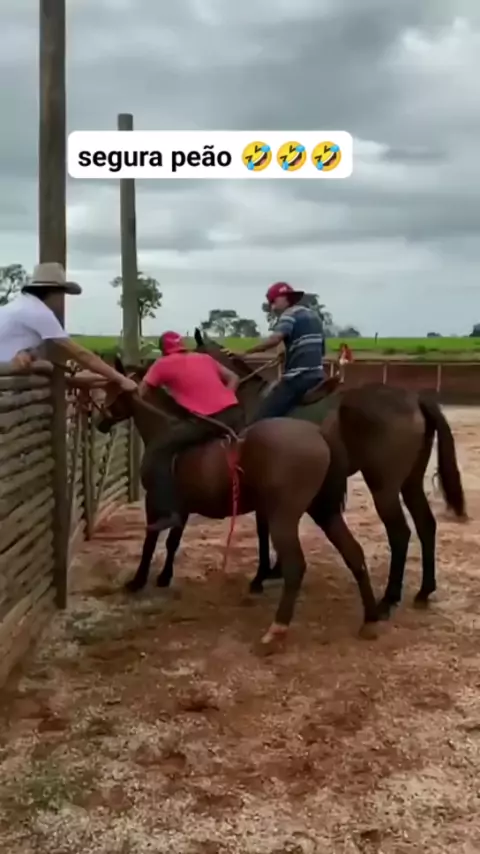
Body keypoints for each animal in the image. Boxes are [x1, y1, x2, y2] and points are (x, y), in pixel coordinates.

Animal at [93, 359, 380, 651]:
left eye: (111, 388)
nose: (99, 421)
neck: (164, 427)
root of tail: (319, 433)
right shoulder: (182, 508)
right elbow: (172, 541)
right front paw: (164, 577)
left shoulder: (155, 502)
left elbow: (150, 542)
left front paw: (138, 581)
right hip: (324, 510)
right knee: (354, 554)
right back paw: (370, 620)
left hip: (284, 517)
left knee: (296, 567)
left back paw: (277, 629)